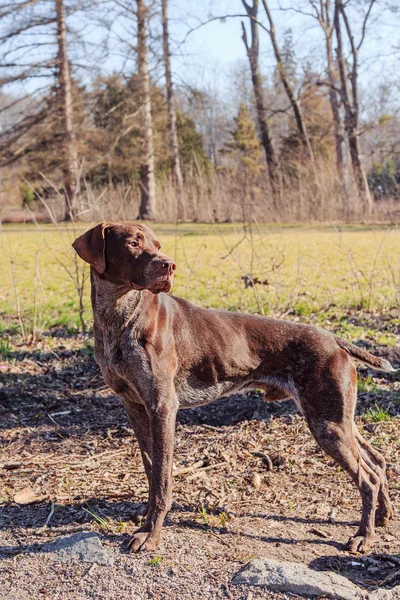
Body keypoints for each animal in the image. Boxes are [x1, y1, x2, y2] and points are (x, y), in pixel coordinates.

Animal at [72, 224, 394, 552]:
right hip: (337, 418)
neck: (117, 316)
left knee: (367, 478)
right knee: (377, 462)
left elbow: (162, 480)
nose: (169, 265)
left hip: (327, 423)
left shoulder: (163, 407)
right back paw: (383, 515)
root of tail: (334, 339)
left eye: (157, 245)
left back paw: (364, 536)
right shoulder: (136, 407)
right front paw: (147, 516)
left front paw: (151, 533)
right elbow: (152, 470)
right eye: (133, 243)